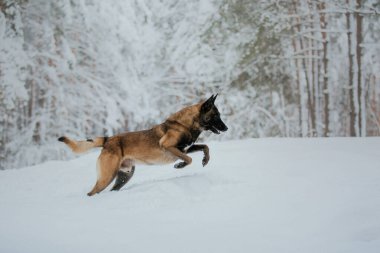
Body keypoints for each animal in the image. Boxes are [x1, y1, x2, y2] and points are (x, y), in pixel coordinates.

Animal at [58, 94, 227, 196]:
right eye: (216, 116)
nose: (226, 128)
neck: (186, 124)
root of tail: (108, 139)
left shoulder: (186, 148)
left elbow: (205, 147)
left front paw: (205, 159)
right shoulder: (169, 146)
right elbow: (189, 159)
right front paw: (179, 166)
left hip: (124, 176)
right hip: (107, 176)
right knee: (92, 192)